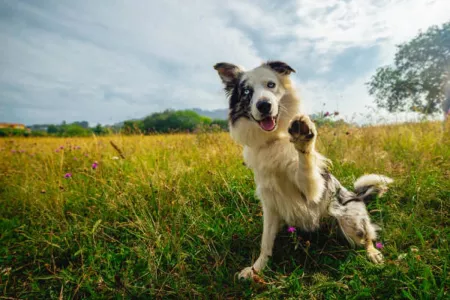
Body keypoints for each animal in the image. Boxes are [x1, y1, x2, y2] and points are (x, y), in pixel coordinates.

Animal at [213, 59, 392, 280]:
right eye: (247, 91)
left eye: (271, 85)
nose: (264, 105)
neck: (274, 140)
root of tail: (357, 196)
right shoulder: (270, 203)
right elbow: (265, 242)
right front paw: (256, 269)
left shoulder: (312, 190)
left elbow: (305, 164)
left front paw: (303, 138)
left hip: (349, 219)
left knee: (366, 237)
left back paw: (373, 253)